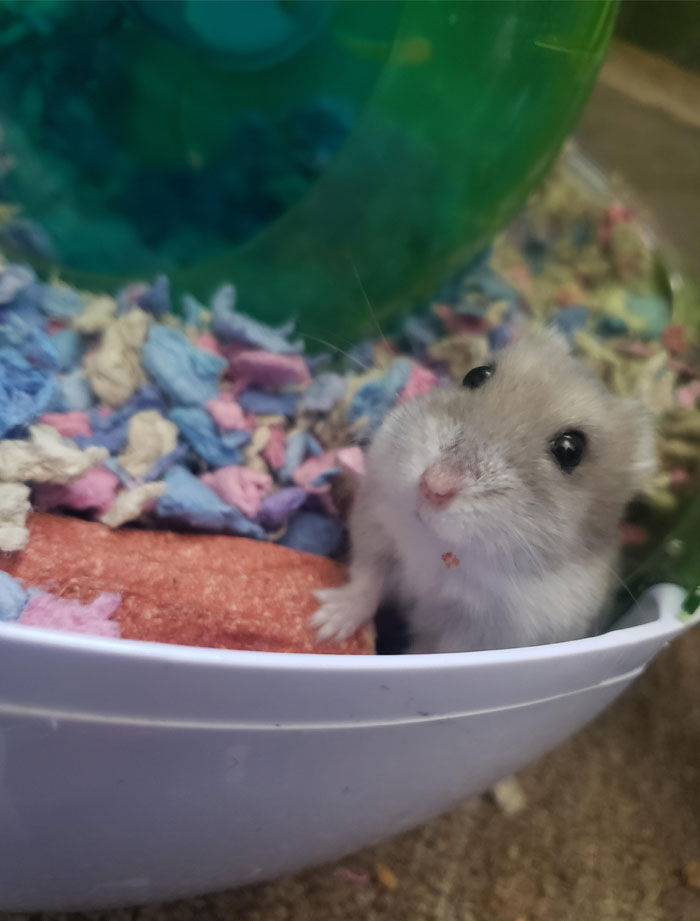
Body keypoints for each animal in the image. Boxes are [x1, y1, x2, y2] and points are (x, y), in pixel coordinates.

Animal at [311, 329, 656, 654]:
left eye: (570, 450)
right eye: (476, 375)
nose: (433, 485)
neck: (440, 547)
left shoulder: (478, 632)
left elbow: (426, 652)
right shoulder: (378, 528)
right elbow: (367, 579)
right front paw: (324, 623)